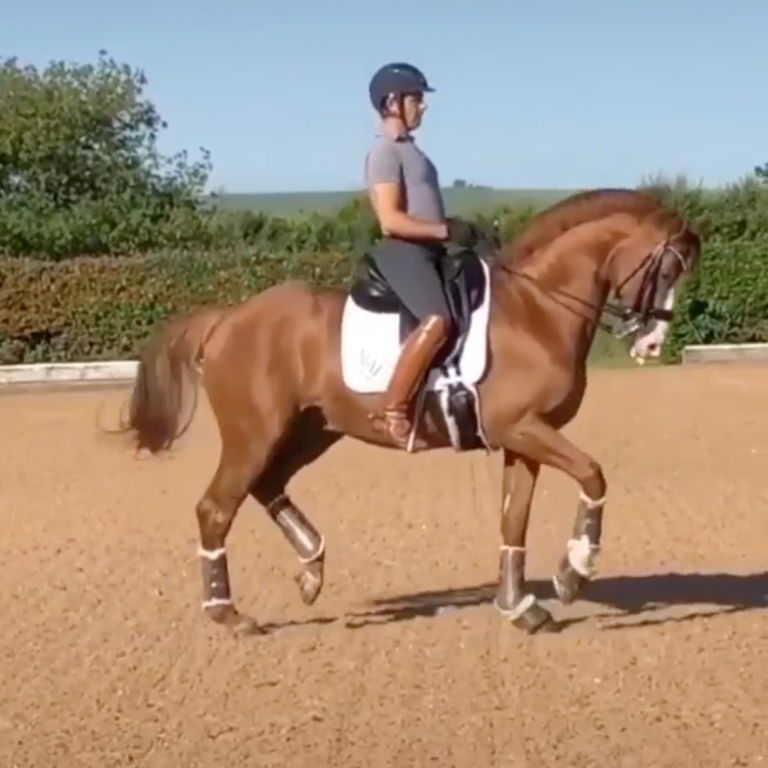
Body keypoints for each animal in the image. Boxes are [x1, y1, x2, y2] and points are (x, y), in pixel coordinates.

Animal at [116, 187, 701, 636]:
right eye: (666, 268)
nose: (652, 344)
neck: (536, 310)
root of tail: (227, 318)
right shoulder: (524, 427)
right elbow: (594, 475)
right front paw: (572, 575)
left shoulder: (522, 437)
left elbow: (514, 517)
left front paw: (520, 606)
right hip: (254, 433)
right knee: (216, 508)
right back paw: (230, 615)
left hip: (311, 430)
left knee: (266, 485)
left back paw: (311, 571)